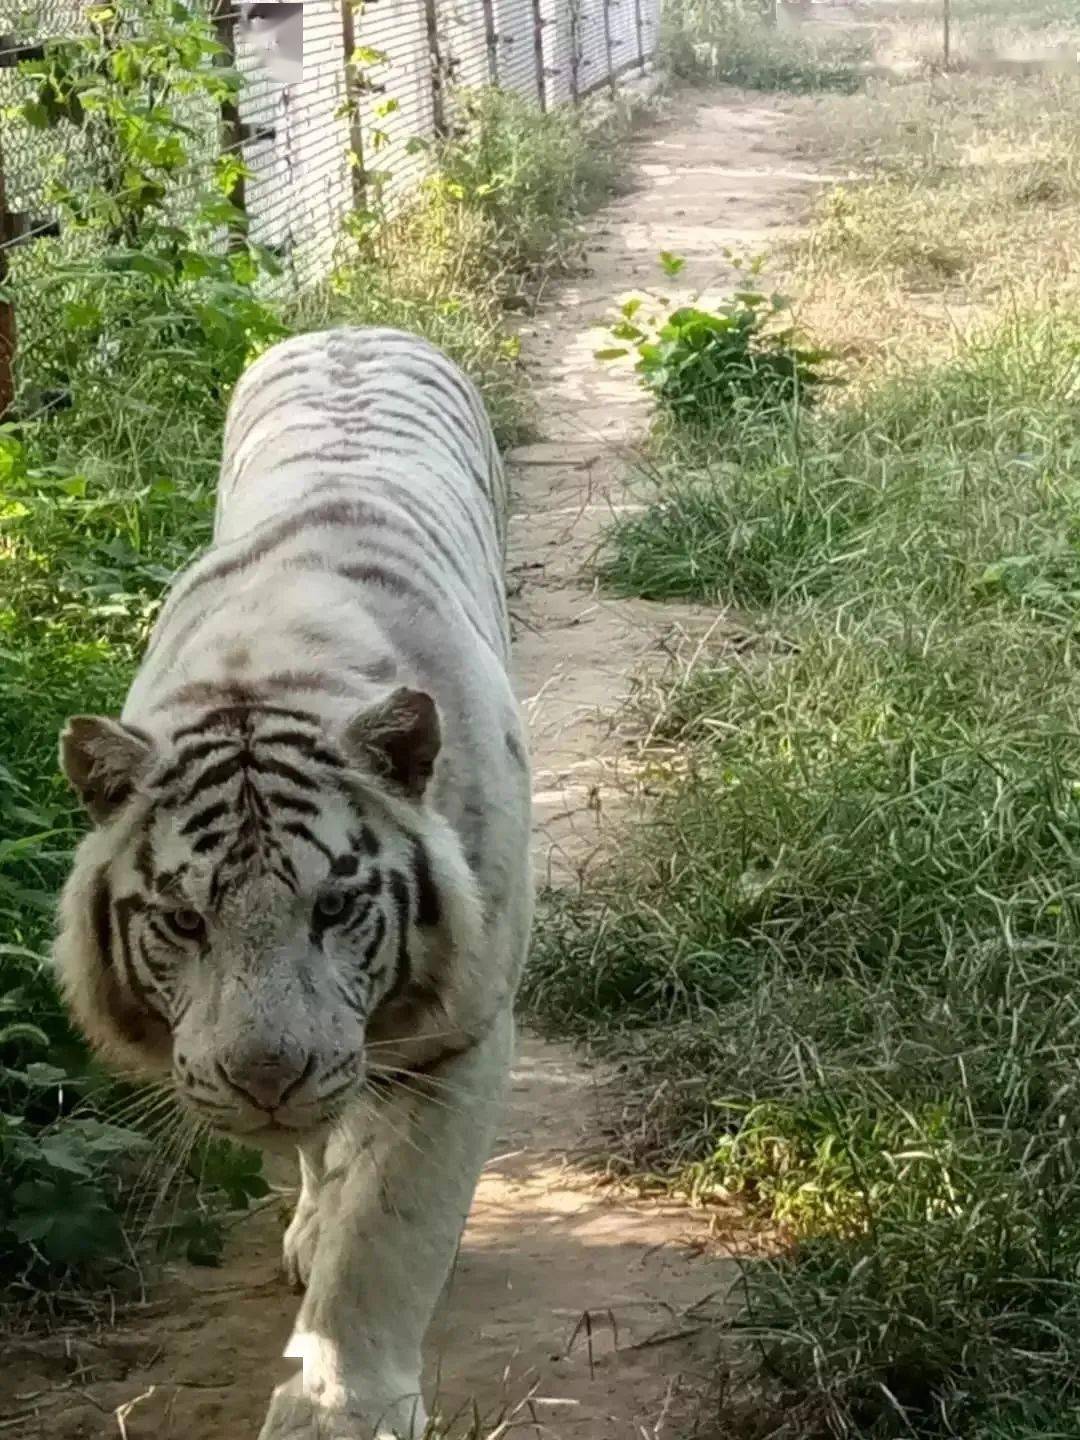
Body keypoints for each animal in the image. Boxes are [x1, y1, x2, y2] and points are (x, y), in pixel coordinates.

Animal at [55, 329, 538, 1440]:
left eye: (336, 906)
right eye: (183, 920)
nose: (265, 1077)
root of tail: (355, 326)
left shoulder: (459, 1035)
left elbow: (389, 1237)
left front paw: (339, 1410)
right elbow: (336, 1164)